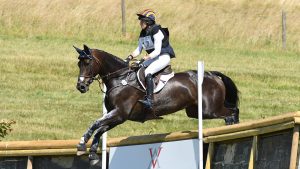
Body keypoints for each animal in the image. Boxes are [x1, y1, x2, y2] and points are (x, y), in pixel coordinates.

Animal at [73, 44, 239, 165]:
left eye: (87, 62)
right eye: (78, 63)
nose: (81, 87)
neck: (120, 78)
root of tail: (212, 75)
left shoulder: (119, 112)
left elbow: (95, 124)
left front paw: (81, 144)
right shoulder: (118, 117)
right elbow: (100, 129)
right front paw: (92, 154)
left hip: (209, 110)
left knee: (232, 111)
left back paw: (233, 130)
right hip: (195, 111)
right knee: (230, 112)